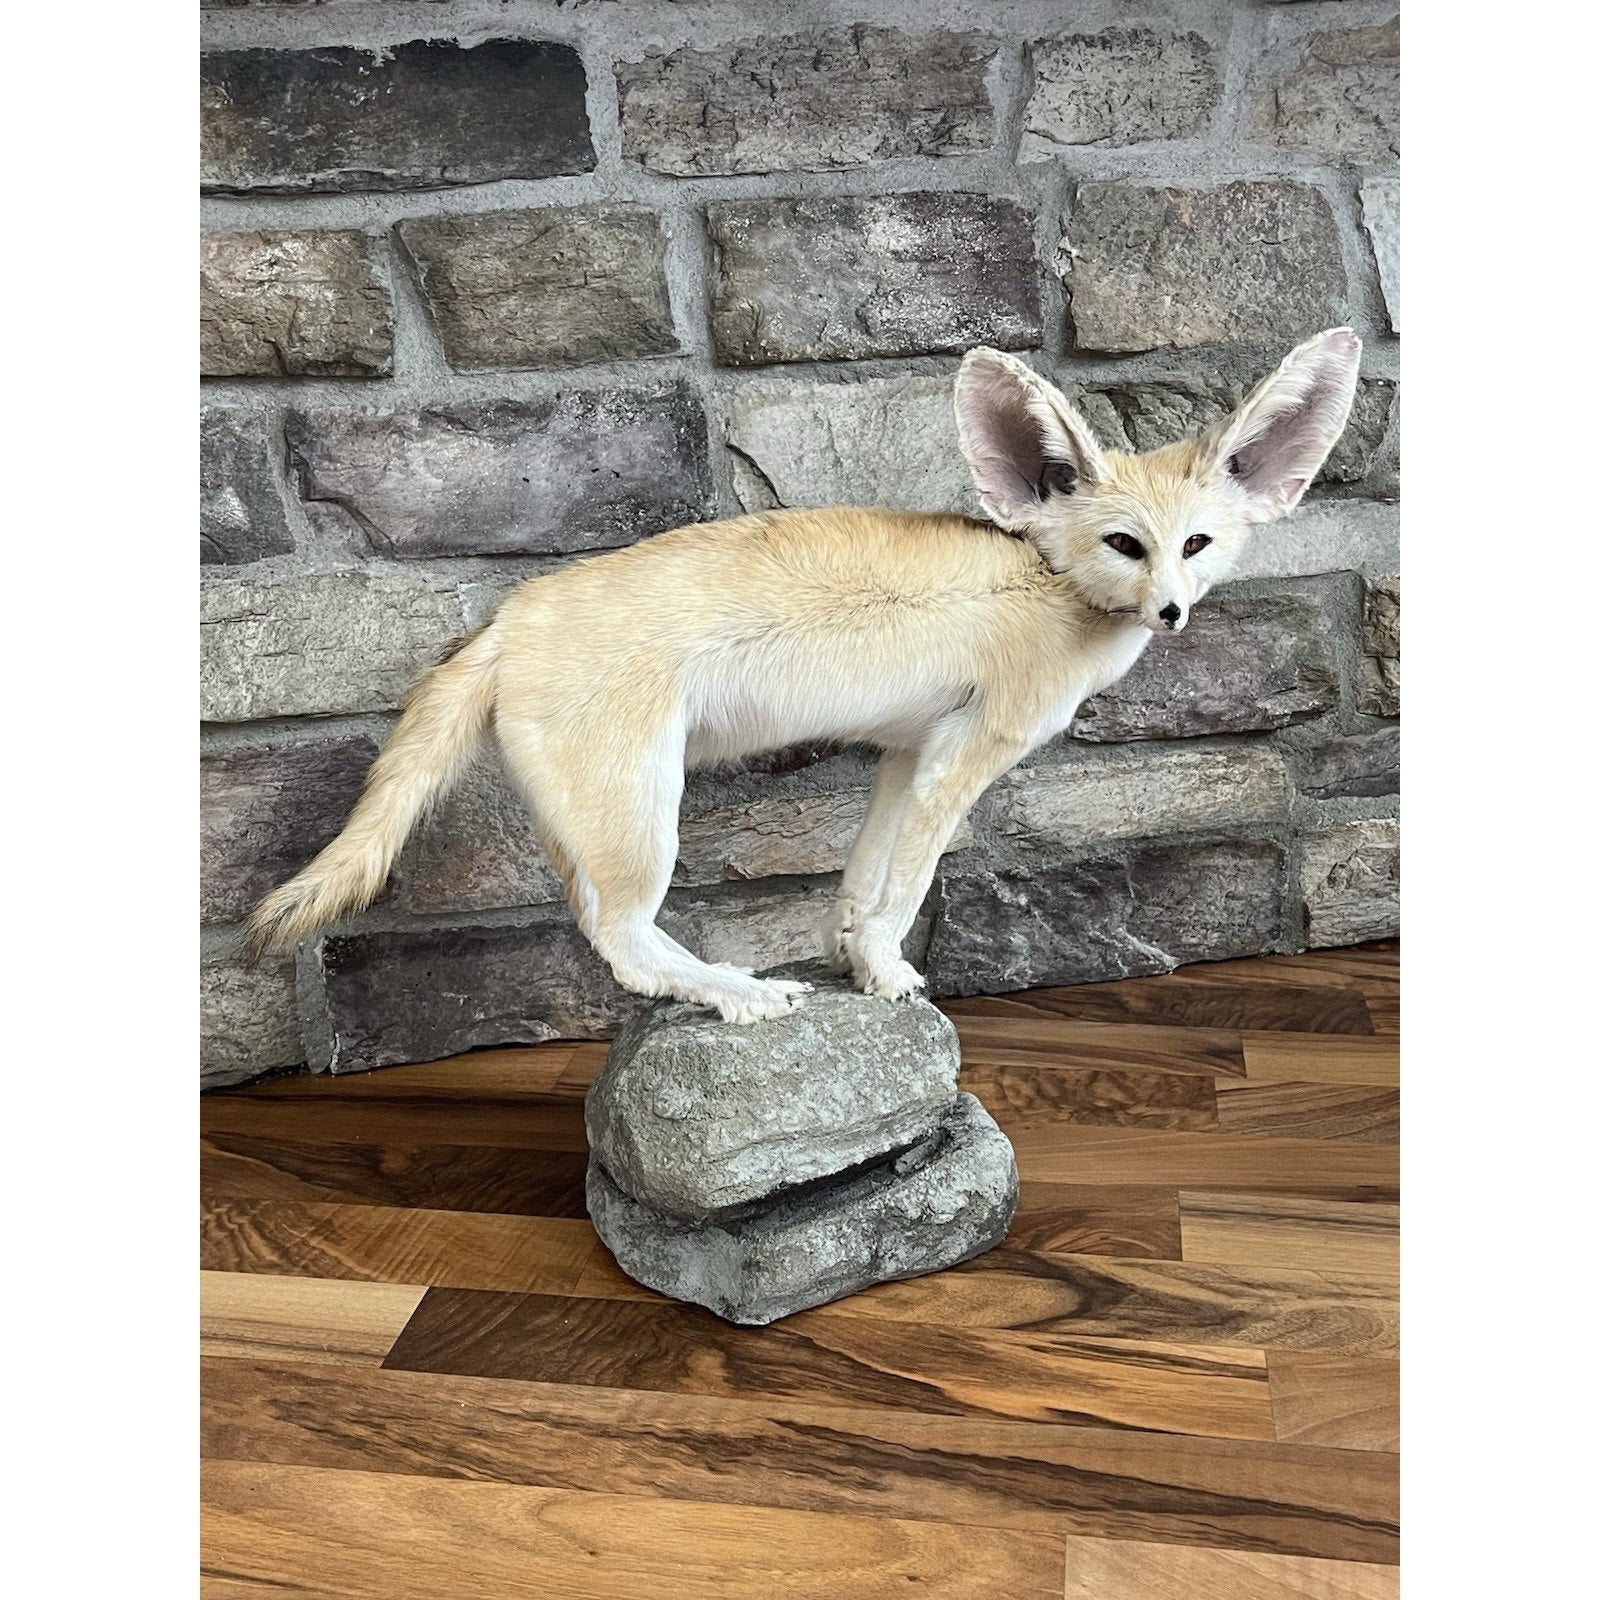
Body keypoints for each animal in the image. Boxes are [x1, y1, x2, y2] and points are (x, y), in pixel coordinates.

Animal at [246, 328, 1362, 1024]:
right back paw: (740, 994)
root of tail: (508, 619)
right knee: (622, 939)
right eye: (1126, 545)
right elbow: (905, 887)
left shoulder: (908, 751)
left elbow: (862, 882)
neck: (1043, 581)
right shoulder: (970, 752)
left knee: (610, 937)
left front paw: (860, 965)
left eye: (1197, 545)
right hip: (641, 818)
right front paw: (889, 971)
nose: (1172, 612)